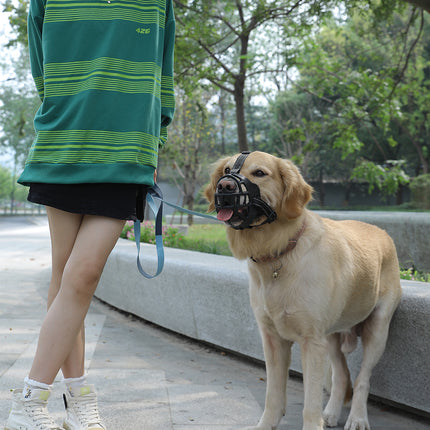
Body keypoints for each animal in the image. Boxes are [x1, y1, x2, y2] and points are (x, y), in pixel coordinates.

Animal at [203, 151, 402, 430]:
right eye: (227, 171)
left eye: (259, 173)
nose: (224, 186)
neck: (279, 252)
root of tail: (383, 233)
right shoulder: (273, 340)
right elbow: (273, 395)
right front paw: (267, 424)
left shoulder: (311, 342)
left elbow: (311, 402)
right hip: (331, 336)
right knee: (342, 375)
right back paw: (331, 412)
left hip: (378, 329)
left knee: (363, 378)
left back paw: (357, 418)